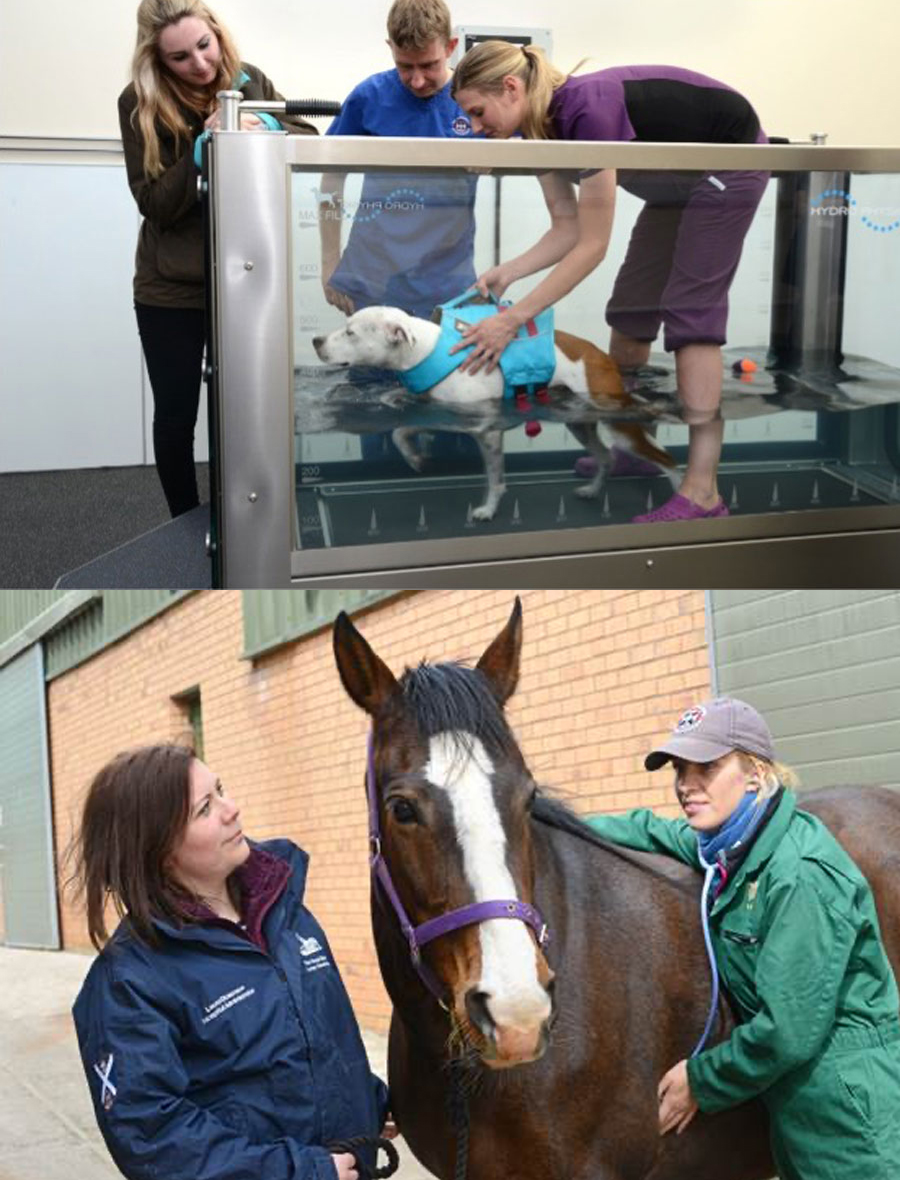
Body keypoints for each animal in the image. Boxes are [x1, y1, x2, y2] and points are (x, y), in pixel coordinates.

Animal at [313, 309, 674, 521]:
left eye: (351, 332)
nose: (315, 340)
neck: (427, 353)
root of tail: (600, 354)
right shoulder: (442, 414)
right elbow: (400, 431)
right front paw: (415, 458)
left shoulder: (486, 431)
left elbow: (495, 478)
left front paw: (487, 509)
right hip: (579, 424)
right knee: (605, 456)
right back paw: (593, 491)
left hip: (618, 422)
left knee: (663, 459)